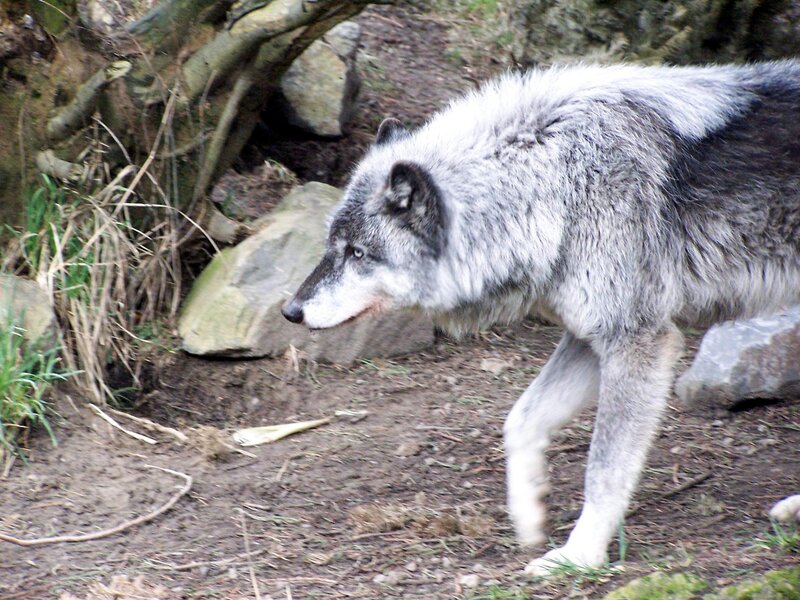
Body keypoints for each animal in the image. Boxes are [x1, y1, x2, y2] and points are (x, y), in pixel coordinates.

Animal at [281, 61, 800, 574]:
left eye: (357, 253)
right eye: (332, 247)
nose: (291, 311)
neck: (558, 180)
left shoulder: (636, 341)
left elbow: (603, 467)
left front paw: (580, 555)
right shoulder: (586, 336)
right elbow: (521, 420)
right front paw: (529, 511)